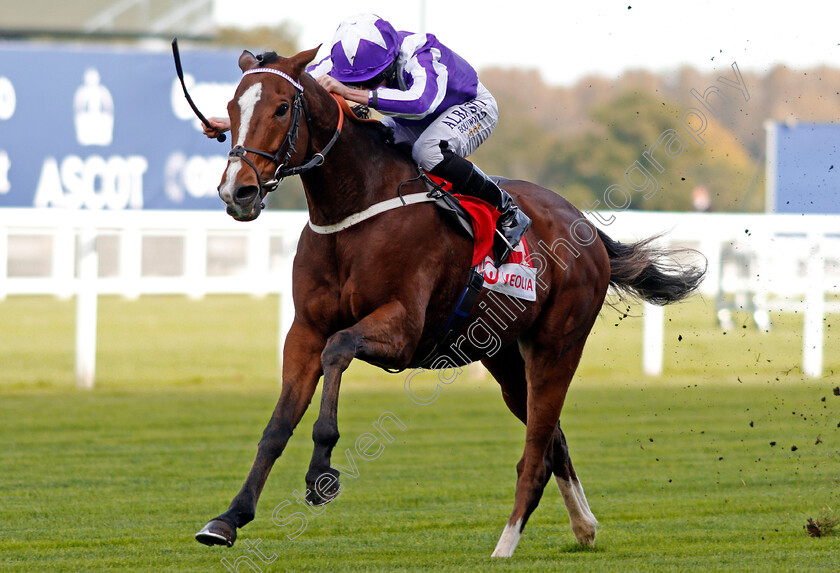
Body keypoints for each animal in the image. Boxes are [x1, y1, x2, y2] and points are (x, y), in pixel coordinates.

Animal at [195, 47, 704, 556]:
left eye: (282, 108)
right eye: (233, 107)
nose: (237, 190)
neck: (354, 208)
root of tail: (585, 226)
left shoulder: (403, 330)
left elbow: (338, 349)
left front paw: (321, 471)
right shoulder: (304, 331)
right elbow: (277, 427)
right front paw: (229, 518)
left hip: (557, 347)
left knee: (535, 454)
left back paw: (504, 546)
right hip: (504, 358)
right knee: (553, 440)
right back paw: (584, 527)